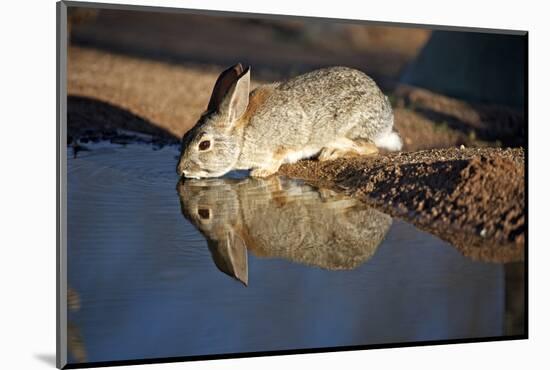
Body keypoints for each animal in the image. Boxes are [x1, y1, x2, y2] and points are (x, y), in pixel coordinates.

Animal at [179, 63, 404, 179]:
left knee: (369, 147)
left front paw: (260, 172)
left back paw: (330, 153)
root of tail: (387, 118)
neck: (242, 137)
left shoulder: (283, 143)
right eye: (185, 136)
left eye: (204, 145)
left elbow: (278, 157)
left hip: (347, 130)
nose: (180, 169)